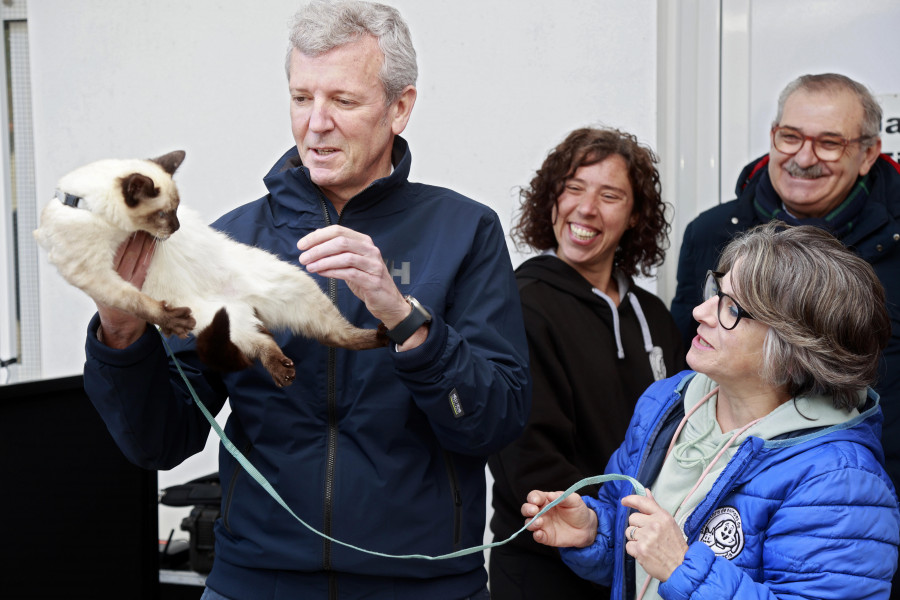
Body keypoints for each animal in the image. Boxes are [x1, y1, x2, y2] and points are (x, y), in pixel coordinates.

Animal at [34, 148, 386, 386]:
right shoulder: (93, 274)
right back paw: (283, 372)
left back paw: (385, 335)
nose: (175, 228)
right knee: (264, 343)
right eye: (163, 215)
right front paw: (167, 319)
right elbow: (137, 302)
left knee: (339, 336)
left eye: (176, 211)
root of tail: (240, 305)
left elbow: (137, 301)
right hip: (214, 322)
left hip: (297, 293)